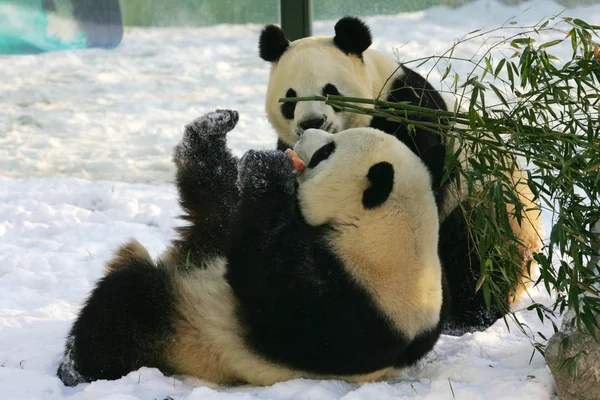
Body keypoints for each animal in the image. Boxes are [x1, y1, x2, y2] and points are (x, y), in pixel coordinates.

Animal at [57, 109, 450, 388]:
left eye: (326, 151)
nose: (303, 132)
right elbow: (239, 220)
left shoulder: (358, 310)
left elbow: (268, 280)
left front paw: (269, 166)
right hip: (206, 246)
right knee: (216, 201)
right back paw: (208, 132)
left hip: (184, 328)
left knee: (128, 305)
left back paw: (77, 366)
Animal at [258, 17, 544, 332]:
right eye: (290, 98)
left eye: (330, 90)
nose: (312, 121)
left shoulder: (409, 113)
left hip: (493, 207)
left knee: (476, 254)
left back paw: (470, 315)